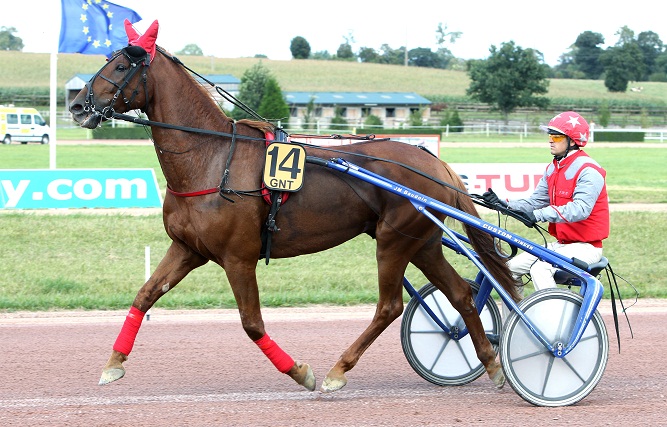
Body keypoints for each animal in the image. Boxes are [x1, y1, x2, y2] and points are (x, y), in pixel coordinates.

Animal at [69, 20, 520, 394]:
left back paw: (339, 369)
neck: (212, 158)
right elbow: (145, 295)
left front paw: (301, 372)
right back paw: (492, 365)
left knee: (390, 306)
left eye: (122, 65)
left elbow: (251, 323)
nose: (76, 105)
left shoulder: (238, 257)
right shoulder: (188, 249)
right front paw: (113, 363)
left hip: (393, 241)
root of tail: (435, 162)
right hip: (422, 241)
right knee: (461, 294)